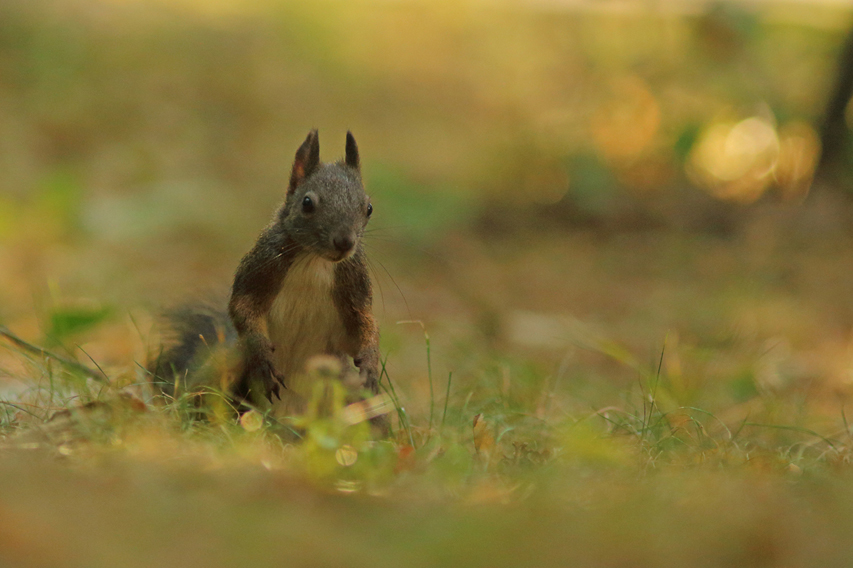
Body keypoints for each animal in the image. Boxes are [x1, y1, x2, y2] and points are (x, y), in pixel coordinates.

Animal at [151, 132, 382, 426]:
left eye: (369, 208)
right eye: (307, 203)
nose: (344, 242)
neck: (314, 260)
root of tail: (284, 419)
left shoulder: (353, 285)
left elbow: (362, 326)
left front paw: (371, 362)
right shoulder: (259, 269)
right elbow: (243, 307)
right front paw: (262, 356)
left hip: (344, 387)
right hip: (228, 362)